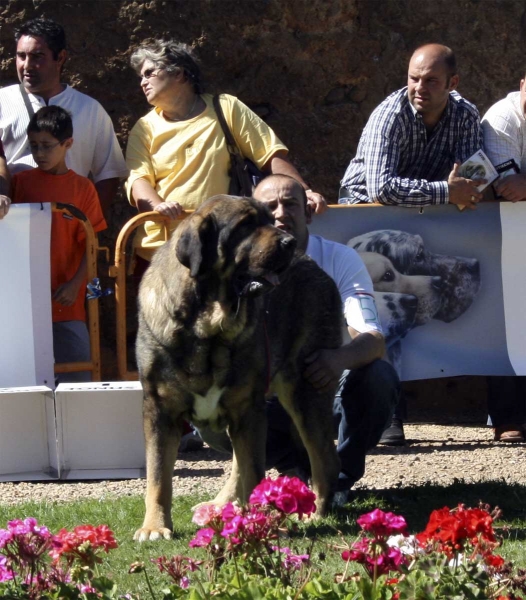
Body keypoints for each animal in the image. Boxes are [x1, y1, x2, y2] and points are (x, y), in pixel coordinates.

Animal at [134, 196, 344, 540]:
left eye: (270, 220)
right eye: (245, 225)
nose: (288, 242)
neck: (207, 324)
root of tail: (313, 264)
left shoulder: (248, 408)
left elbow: (254, 473)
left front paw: (259, 521)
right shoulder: (160, 409)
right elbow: (158, 475)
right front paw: (154, 527)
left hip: (303, 390)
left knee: (324, 456)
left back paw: (315, 514)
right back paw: (221, 504)